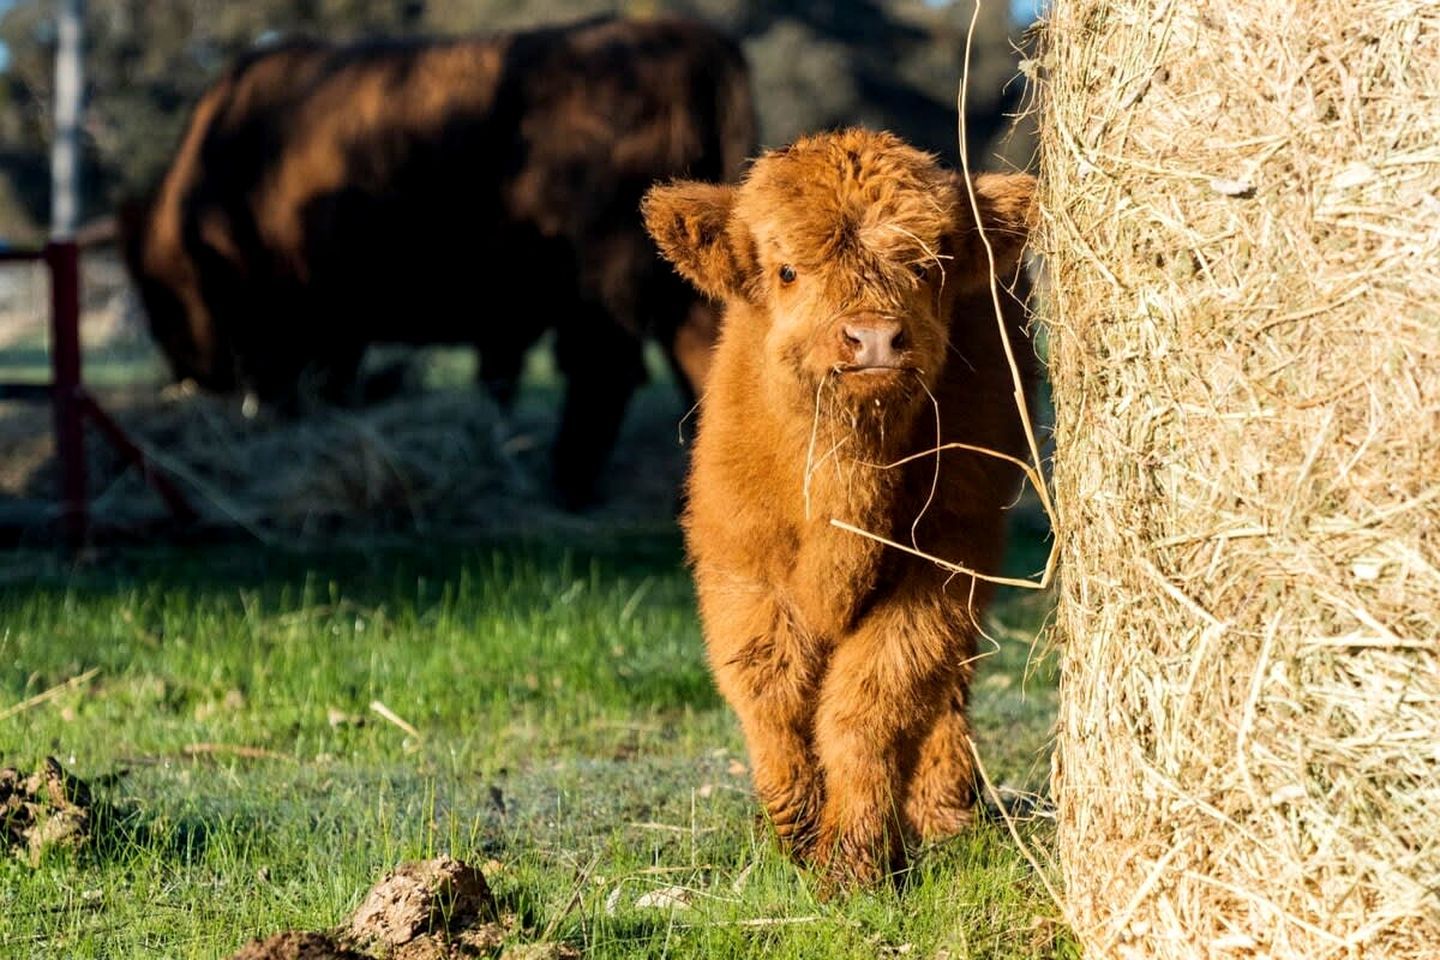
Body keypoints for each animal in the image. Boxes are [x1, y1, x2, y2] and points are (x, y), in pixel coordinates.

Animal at [119, 15, 755, 508]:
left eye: (155, 297)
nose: (187, 376)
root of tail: (683, 37)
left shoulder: (287, 318)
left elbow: (295, 383)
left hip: (604, 287)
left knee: (604, 371)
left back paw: (566, 484)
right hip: (679, 294)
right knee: (703, 359)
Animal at [642, 128, 1038, 887]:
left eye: (930, 264)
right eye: (787, 270)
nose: (873, 338)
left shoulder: (942, 563)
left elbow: (868, 703)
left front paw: (854, 857)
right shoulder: (738, 566)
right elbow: (771, 694)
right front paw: (795, 836)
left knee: (950, 689)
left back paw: (945, 809)